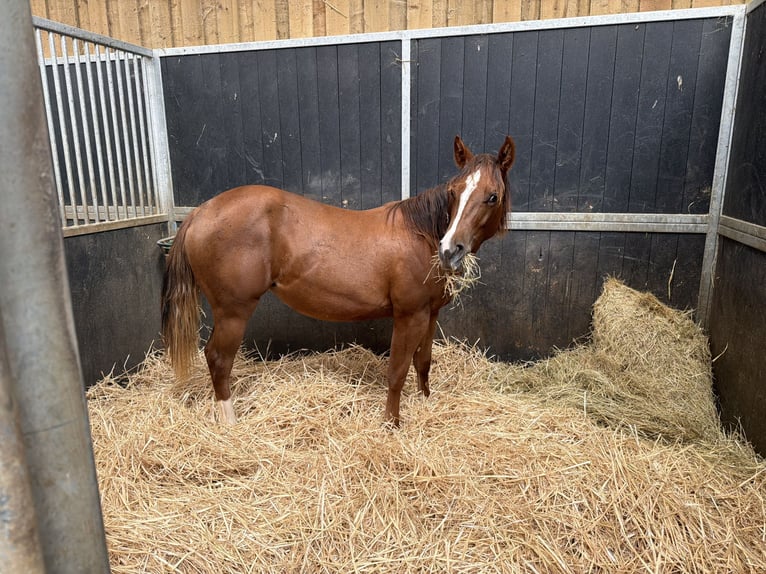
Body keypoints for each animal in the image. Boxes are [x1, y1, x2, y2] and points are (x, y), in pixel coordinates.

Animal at [161, 135, 516, 426]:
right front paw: (391, 423)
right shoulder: (409, 316)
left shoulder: (430, 314)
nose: (449, 250)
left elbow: (423, 363)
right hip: (233, 311)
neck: (422, 236)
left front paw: (425, 403)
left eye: (492, 197)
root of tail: (201, 212)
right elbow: (397, 371)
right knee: (218, 359)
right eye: (455, 192)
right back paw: (231, 423)